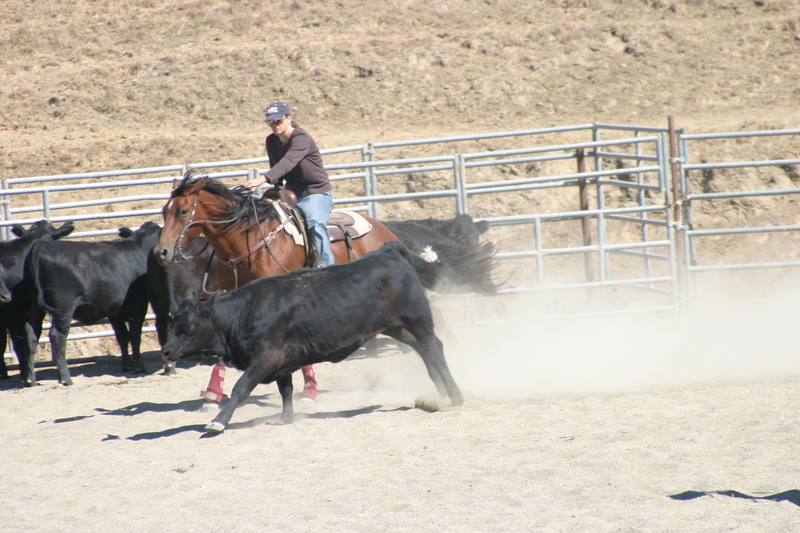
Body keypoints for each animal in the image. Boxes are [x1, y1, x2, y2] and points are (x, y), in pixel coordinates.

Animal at [21, 221, 162, 386]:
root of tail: (40, 245)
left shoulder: (115, 310)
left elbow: (122, 337)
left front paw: (126, 365)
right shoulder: (139, 307)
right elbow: (134, 336)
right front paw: (139, 367)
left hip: (34, 308)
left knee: (31, 336)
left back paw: (30, 379)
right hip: (63, 308)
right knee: (58, 337)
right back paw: (65, 378)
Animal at [161, 241, 465, 433]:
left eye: (189, 326)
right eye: (173, 321)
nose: (166, 351)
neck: (244, 312)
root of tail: (386, 251)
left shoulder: (266, 357)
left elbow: (240, 388)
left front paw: (218, 422)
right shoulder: (281, 361)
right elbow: (285, 389)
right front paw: (285, 418)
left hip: (418, 318)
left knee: (434, 348)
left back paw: (456, 396)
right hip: (396, 327)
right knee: (423, 350)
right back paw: (440, 393)